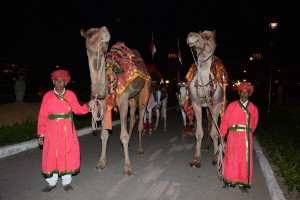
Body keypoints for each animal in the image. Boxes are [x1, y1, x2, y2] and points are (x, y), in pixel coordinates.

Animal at [81, 26, 151, 175]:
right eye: (90, 33)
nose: (105, 30)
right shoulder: (103, 105)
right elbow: (104, 135)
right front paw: (101, 163)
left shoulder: (122, 101)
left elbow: (123, 136)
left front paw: (128, 167)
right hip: (131, 98)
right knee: (133, 118)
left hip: (144, 90)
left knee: (140, 120)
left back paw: (140, 149)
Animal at [185, 29, 227, 167]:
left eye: (207, 37)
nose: (190, 35)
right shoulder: (195, 103)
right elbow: (198, 133)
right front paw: (196, 159)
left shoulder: (216, 104)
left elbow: (215, 132)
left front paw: (216, 157)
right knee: (208, 124)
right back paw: (207, 146)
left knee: (212, 125)